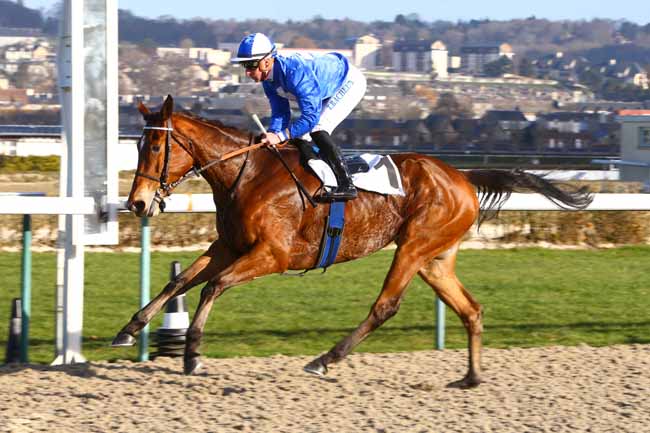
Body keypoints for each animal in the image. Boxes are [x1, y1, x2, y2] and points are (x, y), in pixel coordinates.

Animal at [112, 95, 592, 388]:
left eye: (155, 147)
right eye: (136, 146)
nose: (137, 203)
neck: (246, 175)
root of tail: (462, 177)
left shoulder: (272, 255)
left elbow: (213, 285)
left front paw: (192, 352)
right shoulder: (228, 246)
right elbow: (180, 281)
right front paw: (129, 329)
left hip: (413, 247)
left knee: (385, 306)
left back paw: (325, 358)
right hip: (435, 258)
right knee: (470, 309)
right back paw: (470, 377)